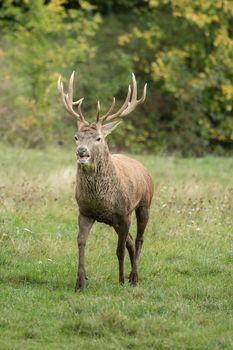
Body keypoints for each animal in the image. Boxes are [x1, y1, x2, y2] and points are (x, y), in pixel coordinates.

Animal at [57, 71, 154, 290]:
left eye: (98, 138)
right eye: (76, 137)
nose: (82, 152)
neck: (101, 200)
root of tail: (143, 167)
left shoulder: (124, 212)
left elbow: (119, 249)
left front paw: (122, 280)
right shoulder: (85, 211)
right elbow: (81, 242)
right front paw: (80, 282)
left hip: (144, 204)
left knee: (139, 239)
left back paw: (134, 276)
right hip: (115, 221)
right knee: (130, 240)